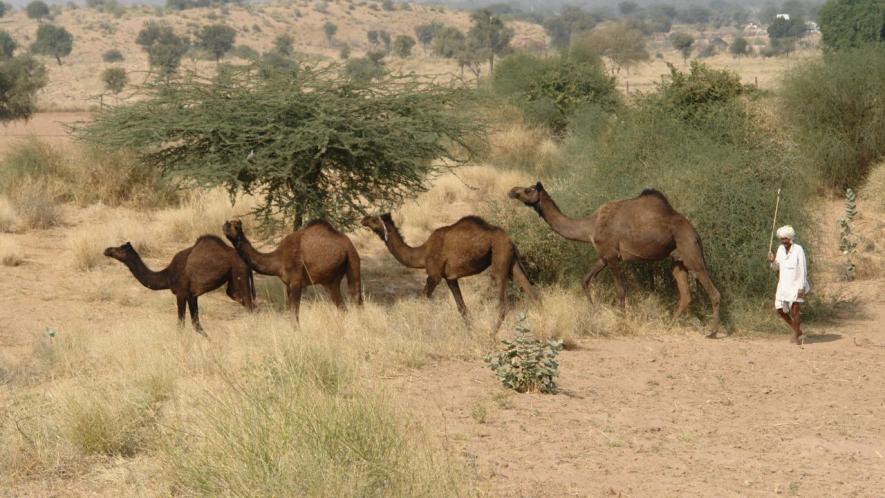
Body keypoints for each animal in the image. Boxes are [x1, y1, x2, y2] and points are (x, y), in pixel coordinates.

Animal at [104, 236, 255, 336]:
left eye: (120, 249)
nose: (107, 250)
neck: (167, 275)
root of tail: (246, 259)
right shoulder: (192, 296)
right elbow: (196, 323)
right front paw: (210, 341)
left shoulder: (181, 293)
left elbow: (180, 324)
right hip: (233, 280)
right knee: (240, 298)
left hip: (240, 271)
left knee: (250, 305)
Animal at [222, 219, 362, 319]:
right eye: (228, 223)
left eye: (235, 226)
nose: (224, 226)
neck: (278, 259)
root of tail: (348, 243)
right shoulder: (288, 284)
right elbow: (291, 313)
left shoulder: (296, 281)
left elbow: (295, 314)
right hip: (330, 281)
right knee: (342, 307)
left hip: (353, 260)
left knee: (356, 298)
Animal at [360, 214, 538, 330]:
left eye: (374, 219)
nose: (363, 219)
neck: (423, 252)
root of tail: (511, 241)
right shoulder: (450, 278)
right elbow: (462, 308)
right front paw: (470, 331)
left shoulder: (434, 274)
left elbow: (422, 298)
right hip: (512, 261)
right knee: (532, 293)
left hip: (500, 254)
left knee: (501, 301)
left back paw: (492, 334)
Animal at [508, 182, 721, 334]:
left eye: (528, 189)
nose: (512, 191)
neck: (591, 225)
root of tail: (695, 233)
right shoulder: (603, 255)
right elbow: (585, 280)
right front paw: (593, 310)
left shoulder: (611, 255)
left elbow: (620, 289)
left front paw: (622, 323)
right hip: (678, 259)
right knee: (685, 293)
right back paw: (669, 326)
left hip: (690, 251)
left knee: (712, 289)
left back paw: (712, 331)